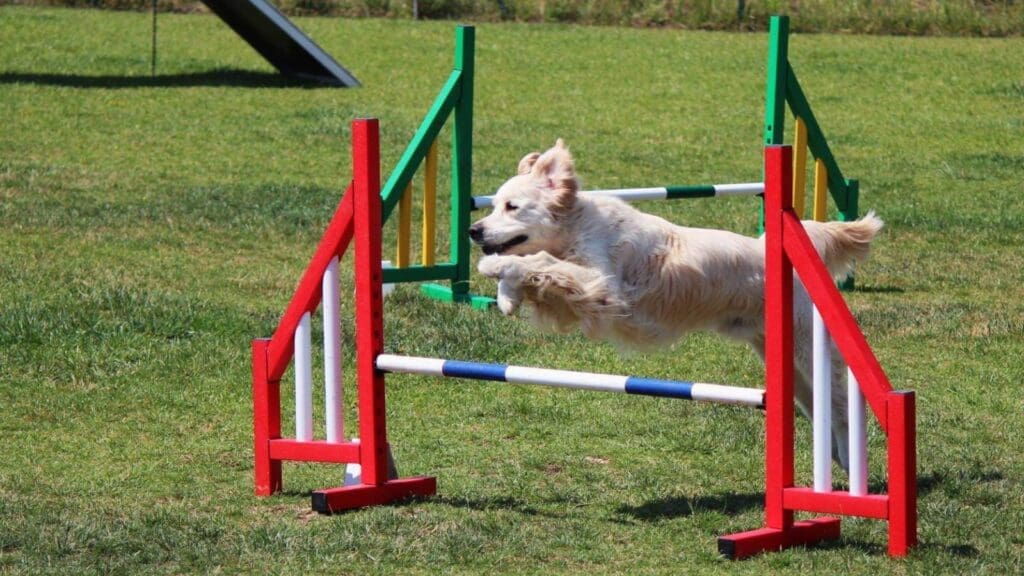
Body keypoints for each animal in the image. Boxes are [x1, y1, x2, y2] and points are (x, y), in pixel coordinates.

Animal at [468, 139, 884, 467]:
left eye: (512, 207)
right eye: (493, 205)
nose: (473, 230)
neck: (576, 225)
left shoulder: (604, 287)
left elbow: (539, 262)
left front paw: (494, 267)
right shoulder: (579, 300)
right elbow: (537, 272)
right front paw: (507, 295)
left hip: (807, 351)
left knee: (842, 408)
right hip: (784, 364)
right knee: (820, 408)